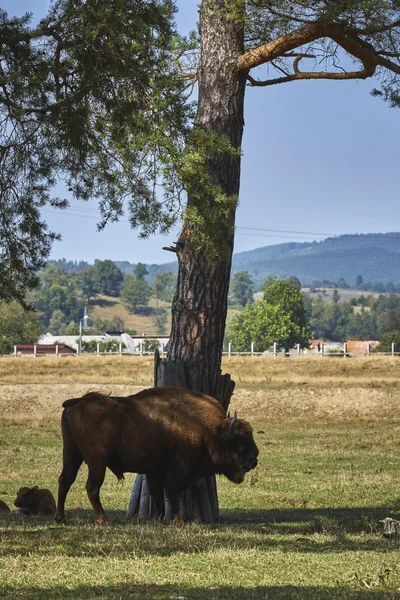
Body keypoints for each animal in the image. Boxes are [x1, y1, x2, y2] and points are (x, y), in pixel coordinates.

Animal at [55, 386, 260, 524]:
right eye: (240, 440)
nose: (254, 460)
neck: (209, 429)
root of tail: (77, 401)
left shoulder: (154, 470)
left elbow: (158, 494)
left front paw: (159, 518)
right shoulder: (178, 467)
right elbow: (173, 491)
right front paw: (176, 520)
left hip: (71, 453)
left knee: (65, 480)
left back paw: (61, 518)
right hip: (97, 461)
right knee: (92, 487)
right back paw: (103, 520)